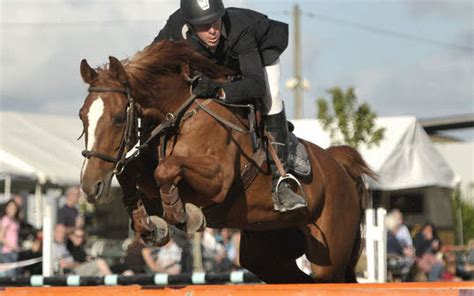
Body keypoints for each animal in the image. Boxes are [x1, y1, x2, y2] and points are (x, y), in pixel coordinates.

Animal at [79, 40, 376, 284]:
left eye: (118, 118)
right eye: (82, 116)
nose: (89, 186)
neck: (180, 113)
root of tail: (339, 167)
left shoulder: (217, 180)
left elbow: (167, 169)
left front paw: (182, 216)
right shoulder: (150, 176)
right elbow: (130, 174)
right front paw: (148, 226)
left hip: (330, 260)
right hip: (267, 249)